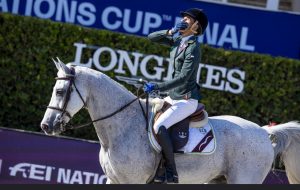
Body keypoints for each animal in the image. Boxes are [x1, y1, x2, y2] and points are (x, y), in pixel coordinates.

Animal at [41, 59, 300, 184]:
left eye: (60, 91)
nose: (46, 126)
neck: (123, 126)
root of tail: (263, 132)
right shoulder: (114, 180)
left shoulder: (132, 181)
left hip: (243, 179)